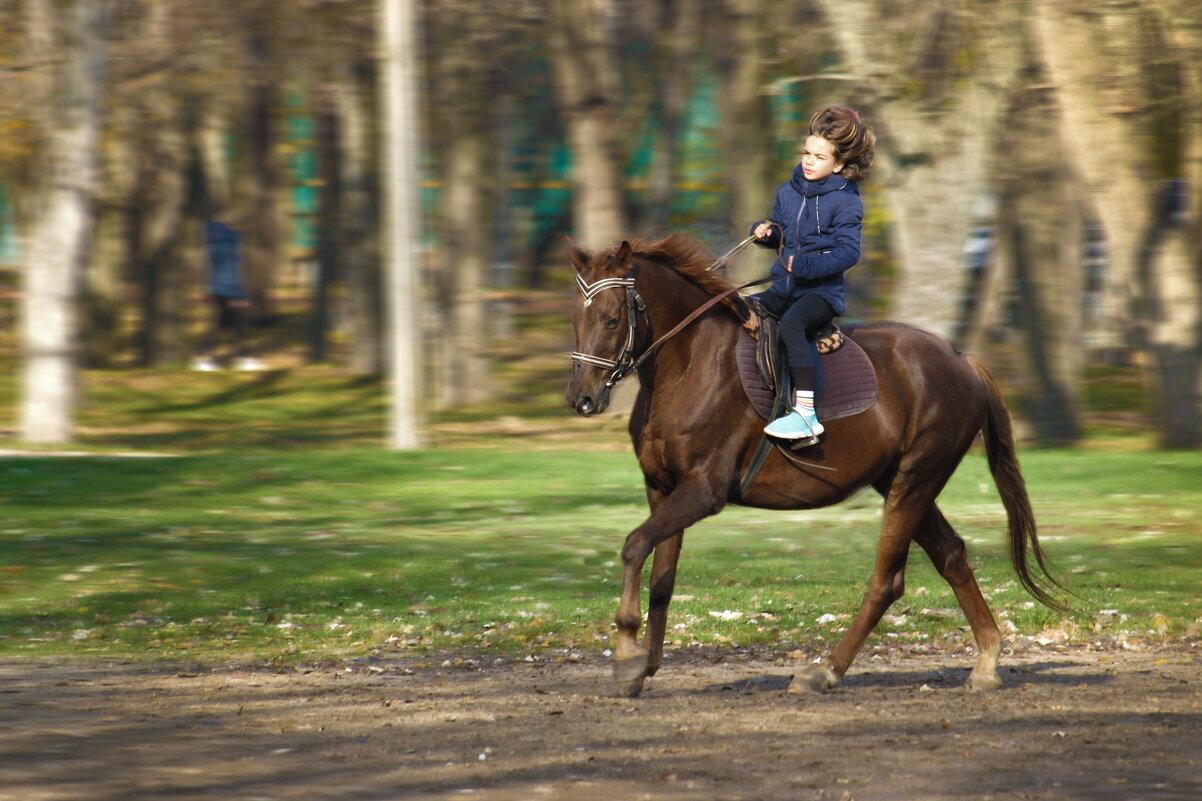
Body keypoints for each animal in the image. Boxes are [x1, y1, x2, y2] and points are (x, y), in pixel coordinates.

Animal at [562, 234, 1062, 697]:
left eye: (611, 319)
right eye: (575, 320)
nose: (582, 399)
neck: (688, 364)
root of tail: (962, 360)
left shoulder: (703, 491)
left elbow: (634, 545)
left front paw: (626, 653)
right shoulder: (662, 488)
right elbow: (661, 578)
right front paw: (642, 666)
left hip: (914, 482)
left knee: (887, 581)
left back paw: (825, 671)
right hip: (901, 482)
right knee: (951, 555)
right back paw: (986, 662)